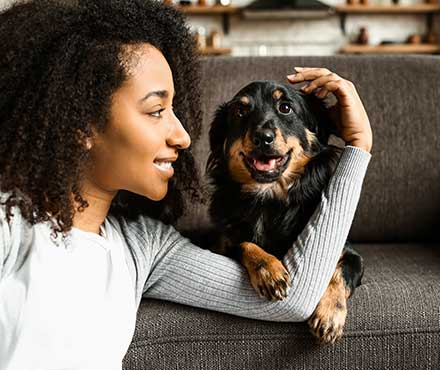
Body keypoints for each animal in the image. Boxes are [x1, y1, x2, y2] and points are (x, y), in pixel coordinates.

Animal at [205, 81, 362, 344]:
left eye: (285, 108)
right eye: (240, 112)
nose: (262, 137)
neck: (269, 198)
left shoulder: (350, 254)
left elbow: (339, 273)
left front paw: (330, 315)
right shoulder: (221, 244)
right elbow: (244, 243)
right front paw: (269, 270)